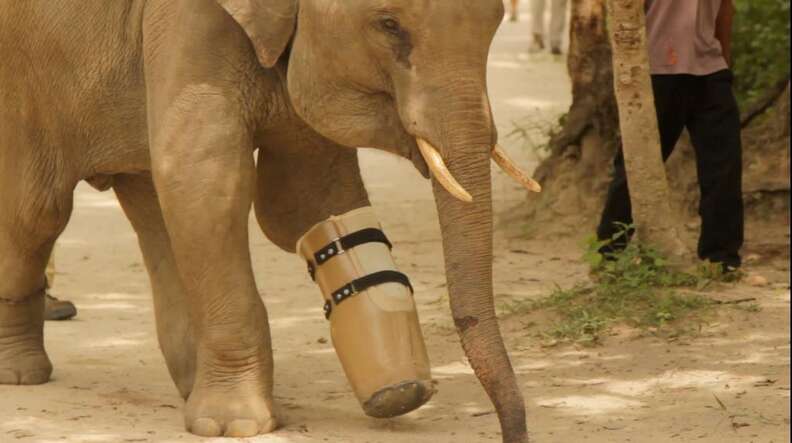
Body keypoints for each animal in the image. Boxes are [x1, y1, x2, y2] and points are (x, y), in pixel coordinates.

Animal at [0, 1, 538, 441]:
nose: (512, 434)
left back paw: (190, 383)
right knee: (37, 212)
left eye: (496, 22)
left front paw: (400, 395)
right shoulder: (188, 20)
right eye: (389, 25)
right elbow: (205, 176)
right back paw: (21, 374)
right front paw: (236, 426)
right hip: (25, 83)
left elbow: (304, 197)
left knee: (150, 200)